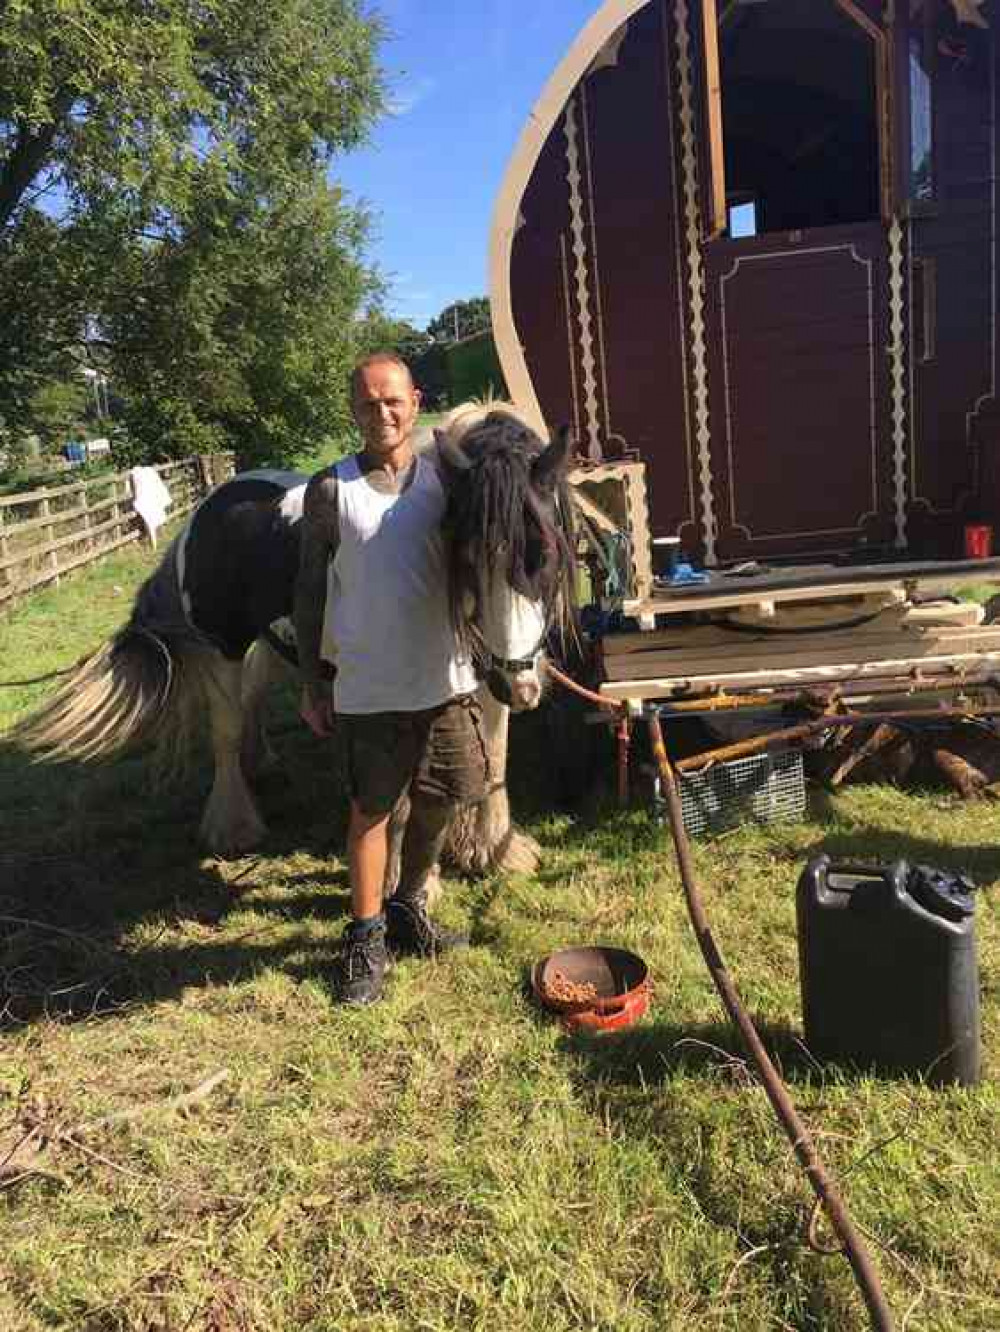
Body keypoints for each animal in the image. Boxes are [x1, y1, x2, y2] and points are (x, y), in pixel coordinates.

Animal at [15, 396, 575, 873]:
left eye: (546, 555)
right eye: (466, 558)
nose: (520, 684)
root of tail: (208, 507)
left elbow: (494, 752)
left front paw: (494, 850)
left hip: (269, 644)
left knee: (252, 699)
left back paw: (259, 763)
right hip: (223, 647)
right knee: (225, 726)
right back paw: (233, 824)